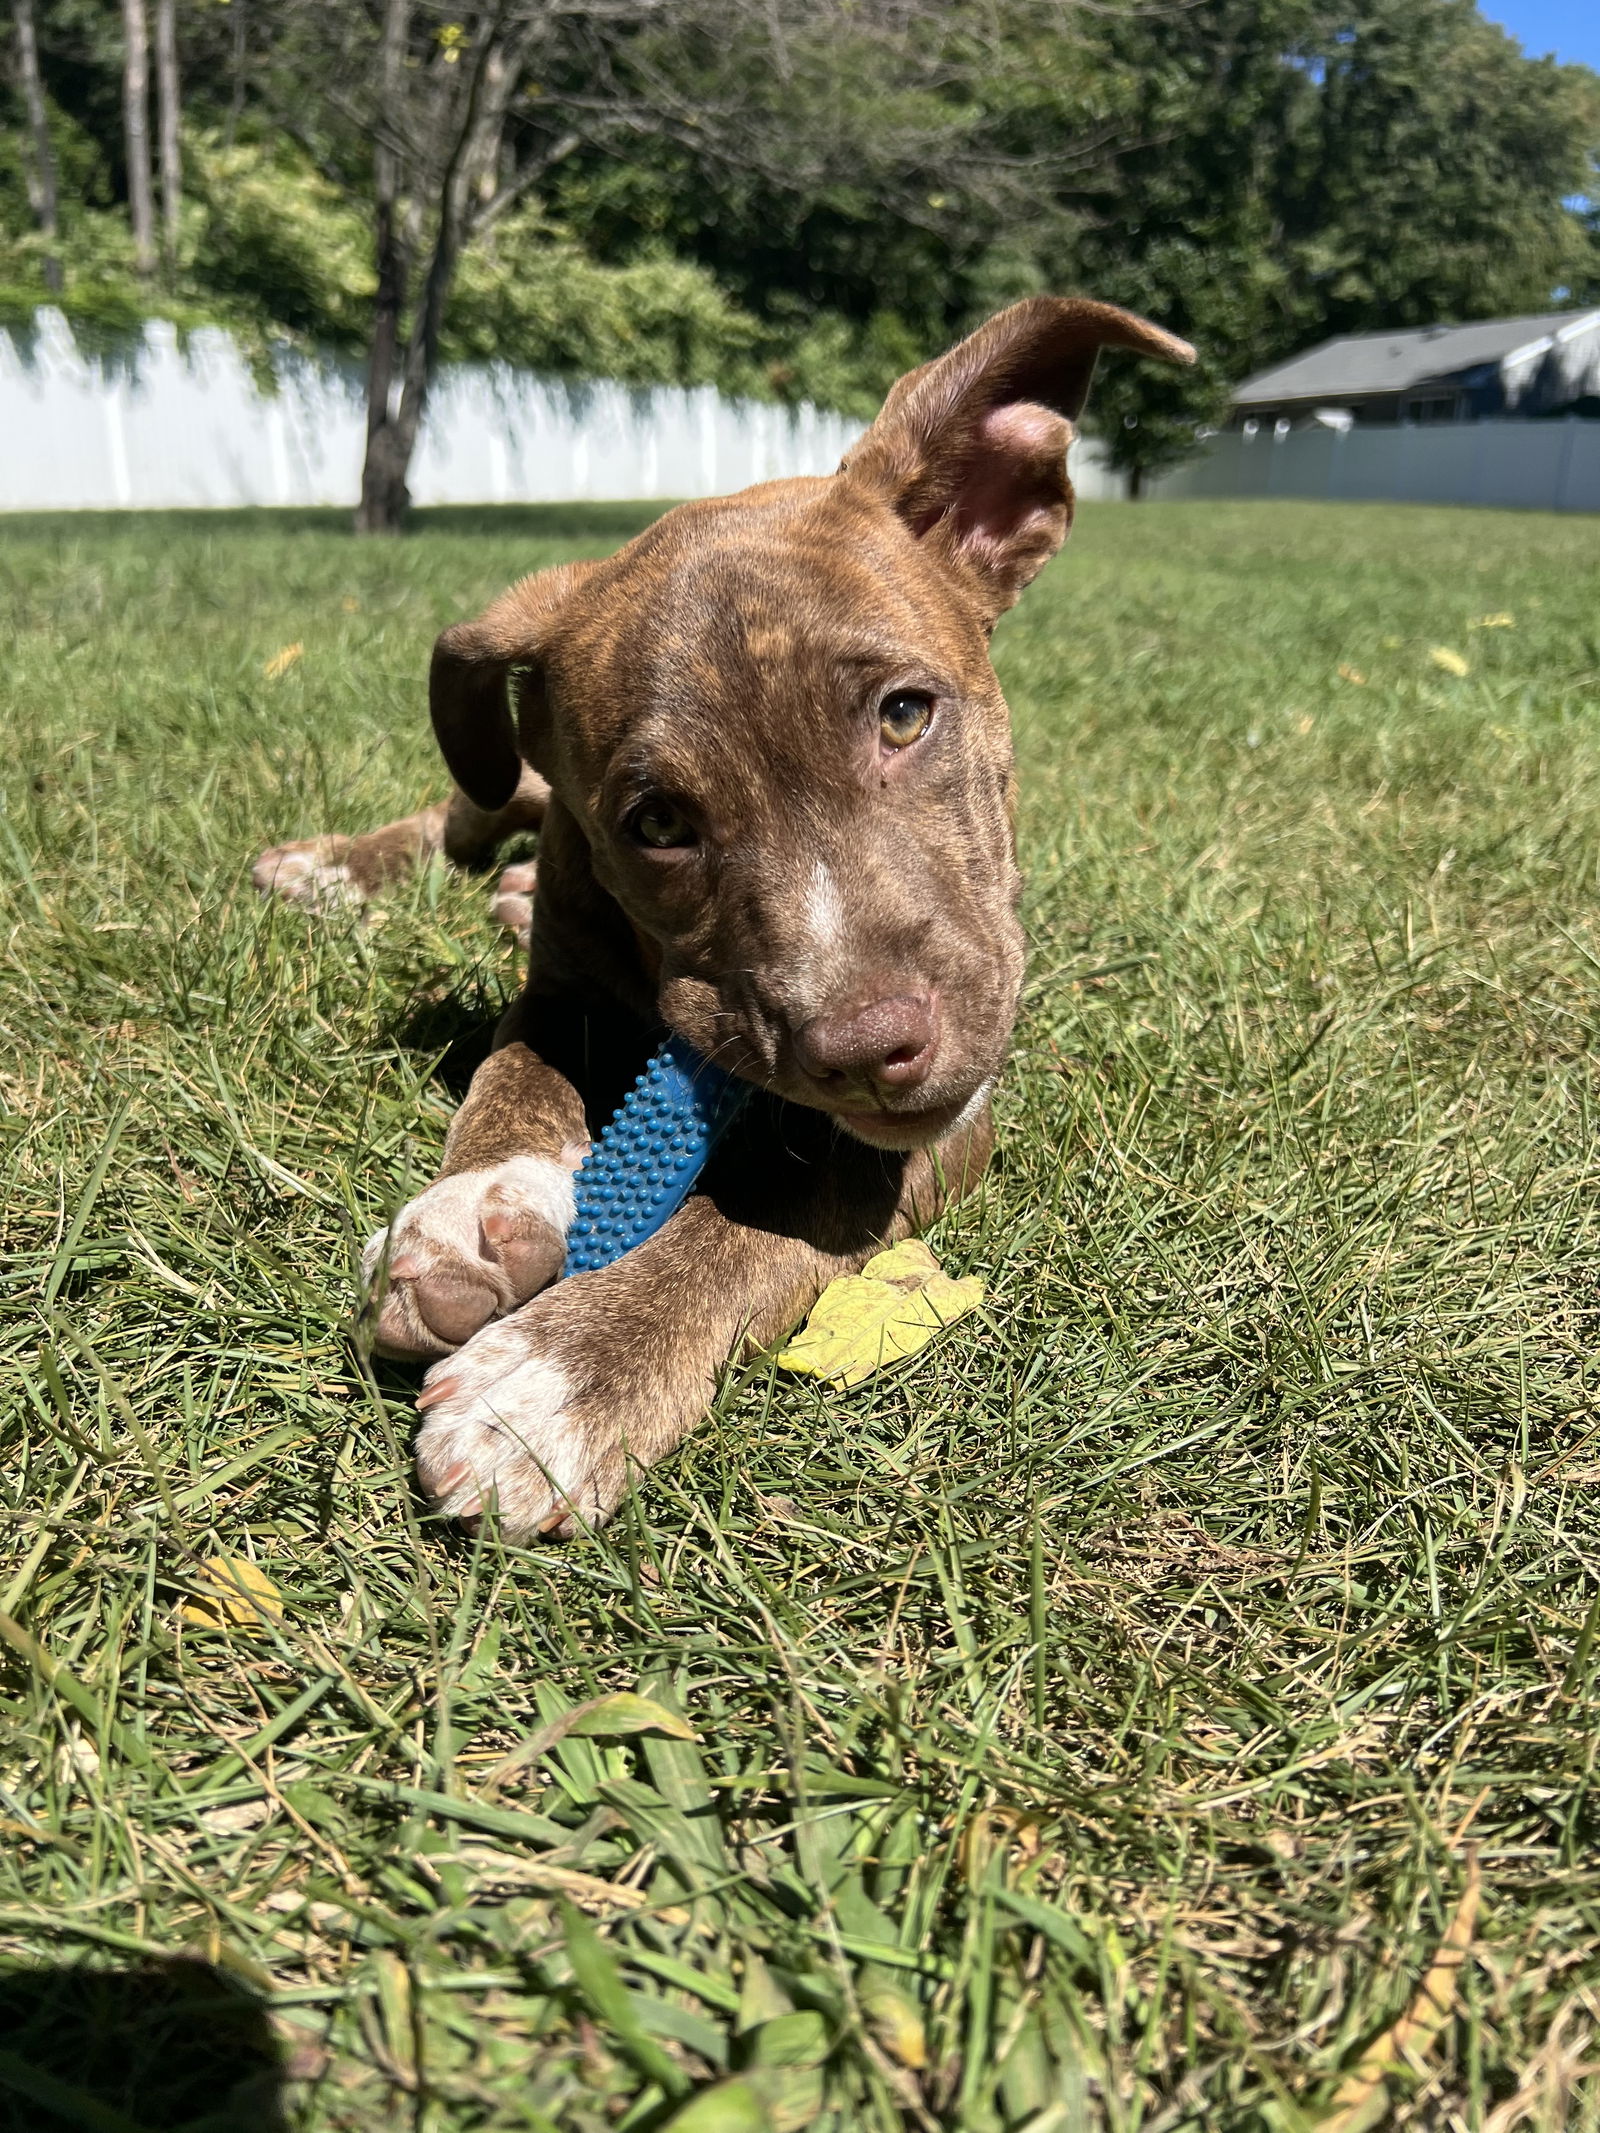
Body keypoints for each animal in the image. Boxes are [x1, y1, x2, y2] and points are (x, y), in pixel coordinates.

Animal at [257, 296, 1194, 1535]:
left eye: (905, 714)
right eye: (656, 822)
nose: (868, 1050)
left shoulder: (943, 1124)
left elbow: (754, 1221)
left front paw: (559, 1378)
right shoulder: (562, 986)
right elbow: (514, 1082)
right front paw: (470, 1216)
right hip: (512, 777)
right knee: (468, 808)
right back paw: (332, 870)